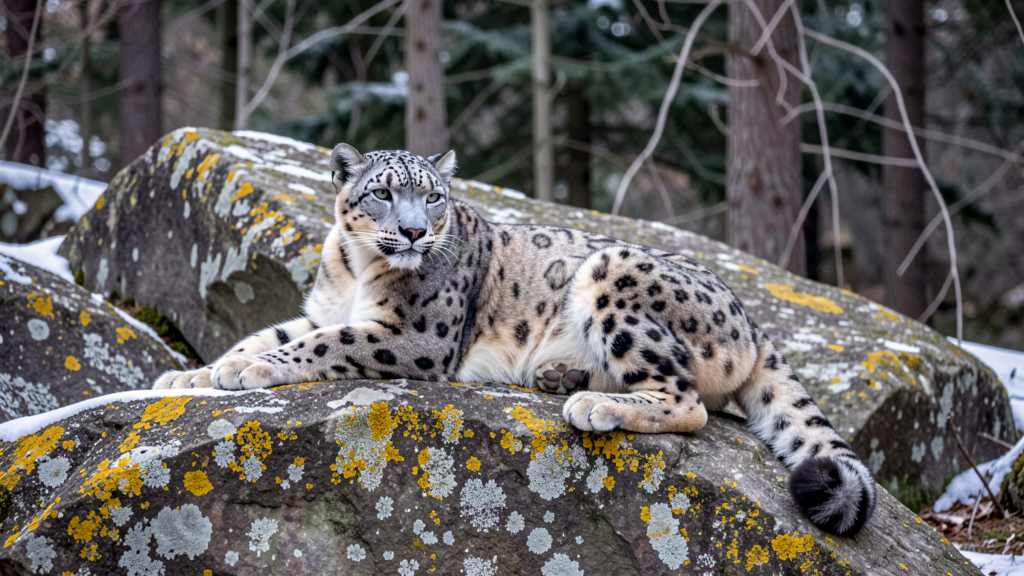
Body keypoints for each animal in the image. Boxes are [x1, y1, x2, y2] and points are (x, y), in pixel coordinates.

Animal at [154, 143, 876, 537]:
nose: (414, 232)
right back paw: (563, 377)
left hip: (612, 274)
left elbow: (325, 345)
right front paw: (189, 375)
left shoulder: (415, 335)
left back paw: (594, 404)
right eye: (383, 193)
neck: (357, 269)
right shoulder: (320, 308)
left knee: (688, 399)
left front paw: (246, 373)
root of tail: (752, 320)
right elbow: (267, 334)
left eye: (434, 197)